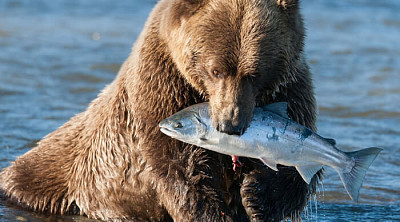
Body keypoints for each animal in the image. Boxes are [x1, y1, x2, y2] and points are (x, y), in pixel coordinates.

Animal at [0, 0, 318, 221]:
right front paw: (214, 211)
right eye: (215, 70)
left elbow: (298, 169)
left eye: (254, 74)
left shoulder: (290, 89)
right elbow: (182, 166)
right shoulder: (163, 85)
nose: (231, 124)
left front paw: (255, 195)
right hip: (57, 174)